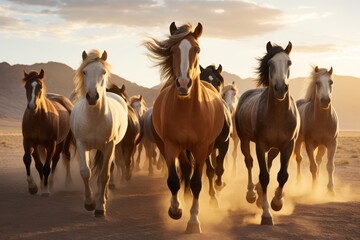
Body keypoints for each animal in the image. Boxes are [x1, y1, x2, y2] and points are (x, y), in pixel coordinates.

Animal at [70, 49, 128, 217]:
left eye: (103, 72)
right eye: (84, 71)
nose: (92, 96)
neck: (95, 118)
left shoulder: (109, 146)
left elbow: (104, 175)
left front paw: (100, 207)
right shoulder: (82, 145)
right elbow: (85, 172)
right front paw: (89, 202)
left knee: (108, 168)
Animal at [144, 22, 225, 232]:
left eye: (197, 49)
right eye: (172, 50)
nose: (183, 83)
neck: (188, 109)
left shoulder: (202, 147)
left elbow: (197, 182)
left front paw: (194, 220)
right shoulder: (171, 145)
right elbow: (173, 180)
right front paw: (175, 209)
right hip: (172, 147)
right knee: (186, 169)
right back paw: (184, 200)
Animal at [235, 41, 300, 225]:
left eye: (289, 63)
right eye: (270, 64)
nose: (280, 88)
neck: (277, 115)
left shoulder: (288, 145)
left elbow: (282, 175)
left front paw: (277, 202)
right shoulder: (260, 144)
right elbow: (264, 176)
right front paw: (266, 214)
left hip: (274, 148)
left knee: (269, 163)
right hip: (244, 140)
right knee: (249, 162)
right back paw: (251, 194)